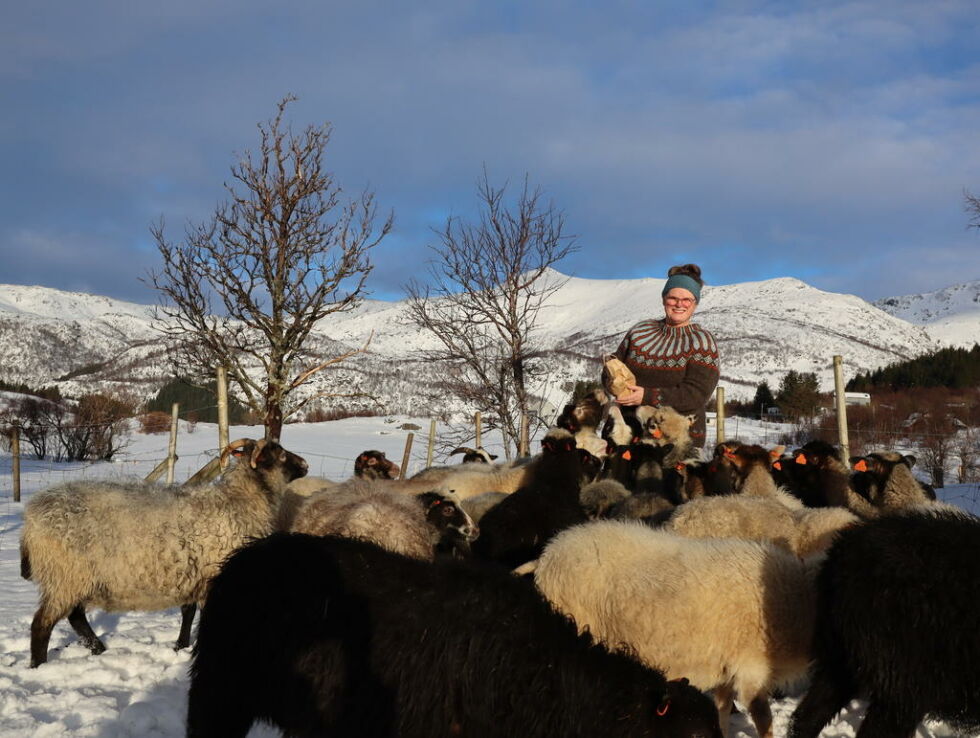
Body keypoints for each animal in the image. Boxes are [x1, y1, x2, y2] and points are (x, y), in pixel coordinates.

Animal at [21, 436, 308, 668]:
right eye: (280, 453)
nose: (306, 464)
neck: (240, 501)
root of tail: (32, 516)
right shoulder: (213, 574)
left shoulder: (194, 572)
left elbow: (187, 612)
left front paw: (180, 646)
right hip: (66, 575)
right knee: (42, 623)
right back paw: (39, 666)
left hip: (74, 579)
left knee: (75, 617)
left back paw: (98, 649)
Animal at [528, 516, 820, 736]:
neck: (797, 598)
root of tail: (547, 555)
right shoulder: (751, 667)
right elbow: (763, 718)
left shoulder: (726, 667)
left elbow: (723, 708)